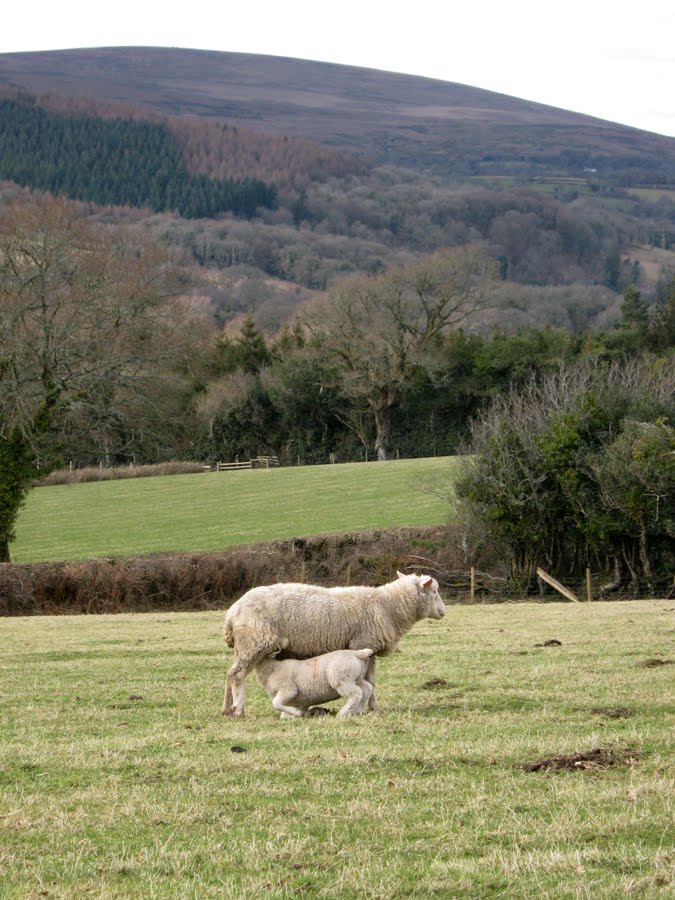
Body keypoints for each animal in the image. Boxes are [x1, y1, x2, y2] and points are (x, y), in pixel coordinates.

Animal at [222, 571, 445, 718]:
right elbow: (367, 682)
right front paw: (366, 708)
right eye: (434, 591)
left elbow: (371, 682)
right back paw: (238, 709)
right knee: (237, 674)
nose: (444, 612)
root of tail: (232, 613)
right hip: (255, 642)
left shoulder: (370, 650)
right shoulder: (362, 643)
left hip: (245, 645)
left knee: (229, 673)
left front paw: (374, 708)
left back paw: (226, 709)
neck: (388, 606)